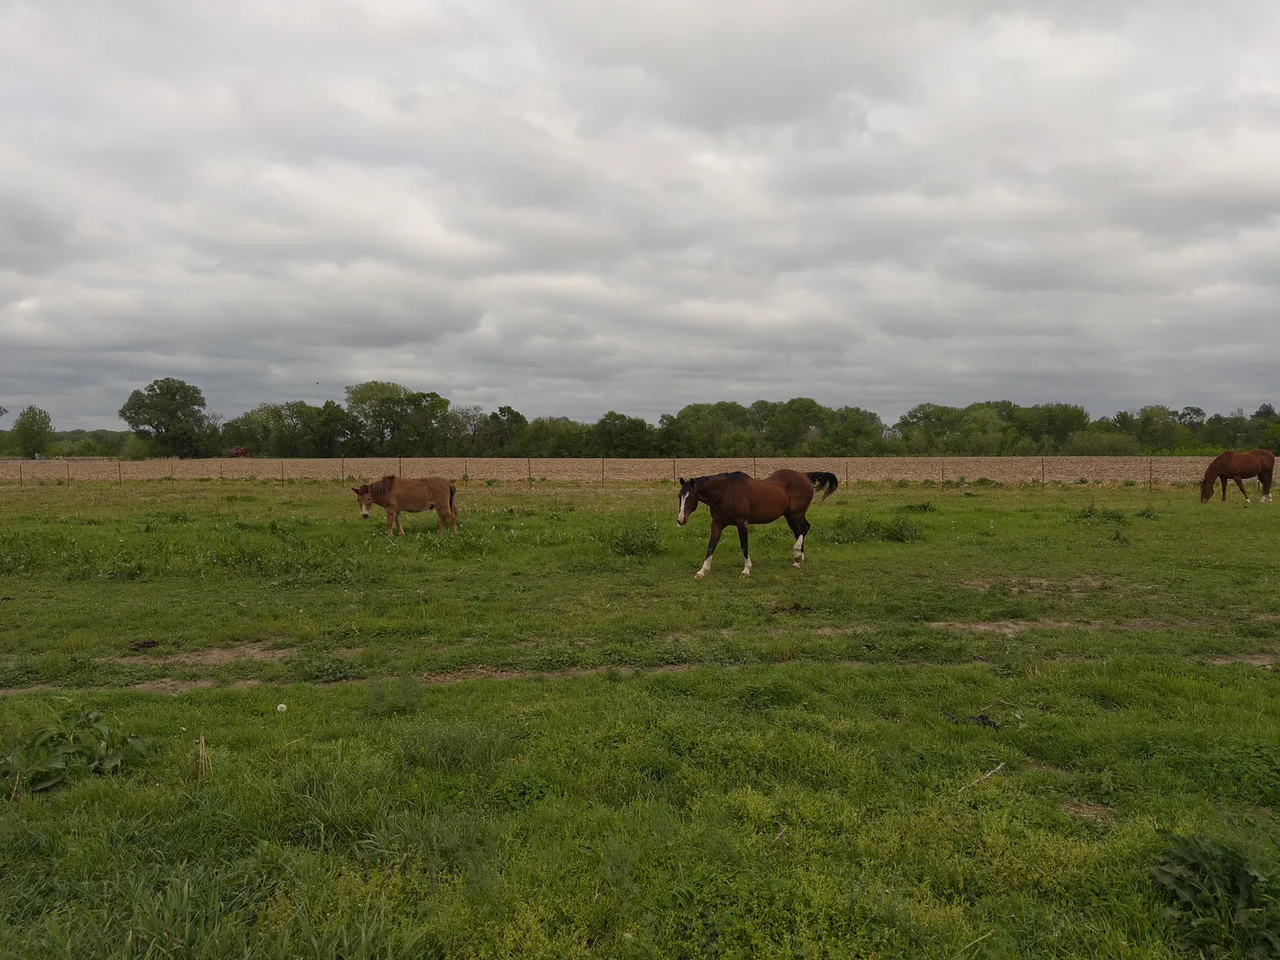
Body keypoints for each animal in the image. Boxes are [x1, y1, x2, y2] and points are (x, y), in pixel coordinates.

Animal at [676, 470, 839, 578]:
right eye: (679, 496)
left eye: (692, 495)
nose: (680, 520)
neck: (726, 492)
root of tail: (804, 475)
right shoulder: (717, 524)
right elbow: (711, 546)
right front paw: (702, 571)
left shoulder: (742, 522)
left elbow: (744, 545)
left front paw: (746, 570)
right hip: (790, 516)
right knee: (799, 532)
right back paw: (798, 561)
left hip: (796, 514)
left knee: (805, 528)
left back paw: (797, 554)